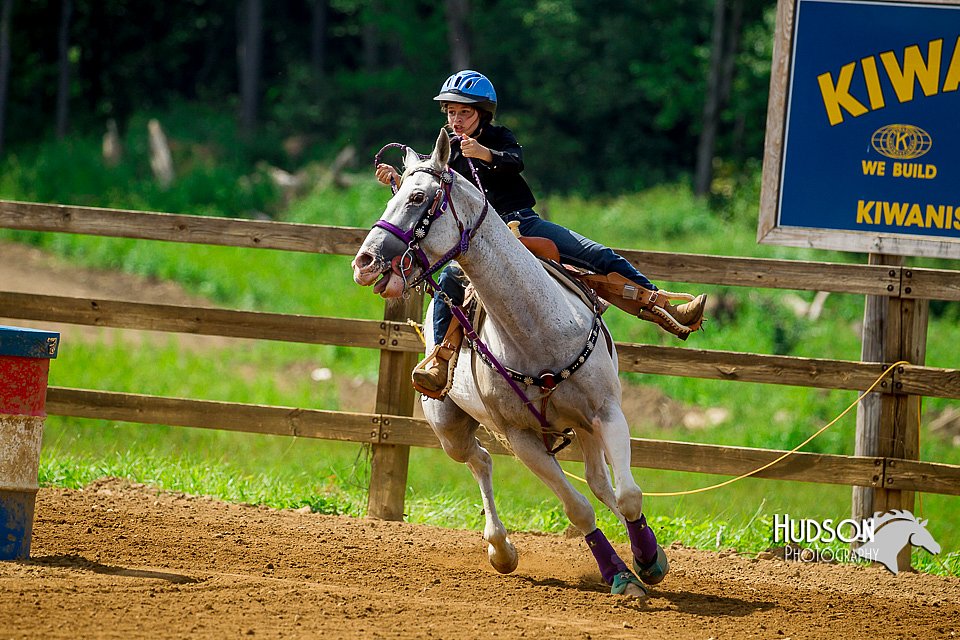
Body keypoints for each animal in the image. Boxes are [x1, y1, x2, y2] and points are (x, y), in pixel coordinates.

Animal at [352, 131, 668, 600]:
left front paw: (649, 558)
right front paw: (620, 575)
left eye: (418, 197)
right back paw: (500, 548)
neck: (538, 327)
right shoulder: (522, 439)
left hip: (583, 426)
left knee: (600, 482)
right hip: (449, 429)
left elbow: (628, 494)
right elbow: (578, 509)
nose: (364, 262)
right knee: (481, 461)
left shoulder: (607, 411)